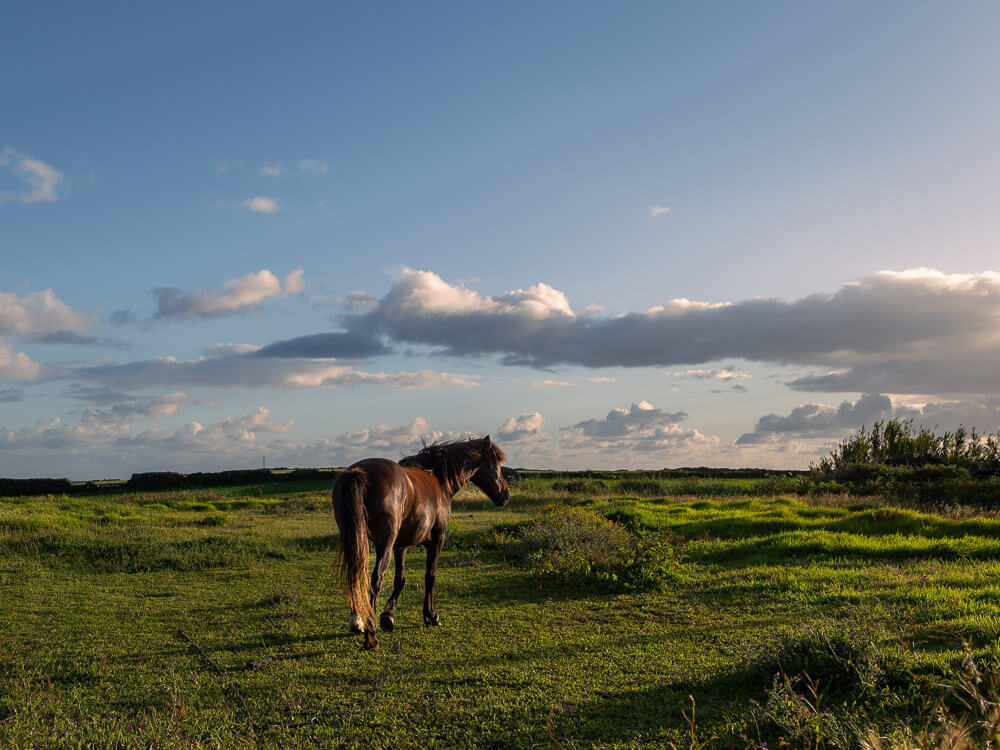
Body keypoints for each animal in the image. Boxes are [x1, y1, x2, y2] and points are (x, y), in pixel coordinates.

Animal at [334, 434, 508, 652]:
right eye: (497, 464)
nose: (505, 495)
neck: (438, 479)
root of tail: (359, 472)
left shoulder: (401, 545)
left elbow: (400, 580)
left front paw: (388, 616)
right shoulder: (437, 539)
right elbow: (430, 577)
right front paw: (430, 616)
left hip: (358, 540)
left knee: (356, 573)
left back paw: (357, 621)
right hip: (384, 544)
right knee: (375, 580)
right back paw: (371, 636)